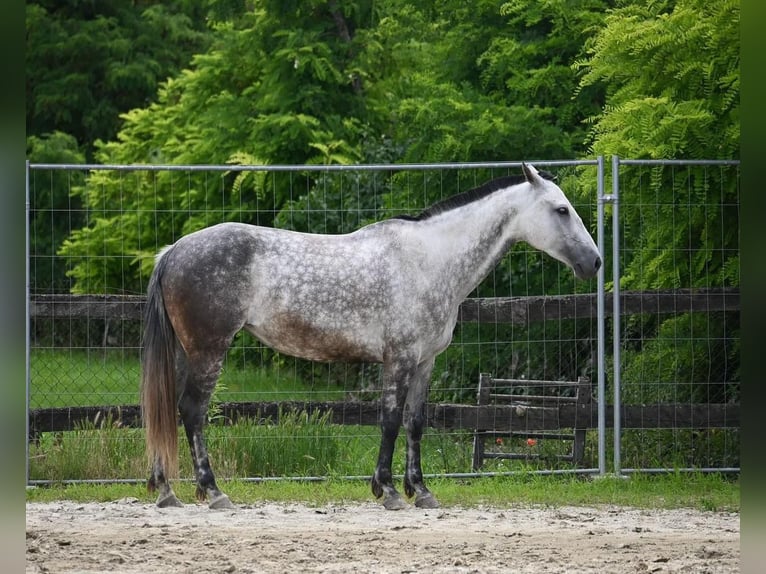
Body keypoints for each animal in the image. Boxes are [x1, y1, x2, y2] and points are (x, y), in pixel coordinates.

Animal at [141, 164, 604, 510]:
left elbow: (415, 423)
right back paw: (213, 492)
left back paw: (167, 491)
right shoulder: (398, 359)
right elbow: (391, 421)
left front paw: (422, 491)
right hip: (209, 350)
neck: (430, 260)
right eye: (561, 209)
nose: (595, 262)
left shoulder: (425, 362)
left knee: (167, 409)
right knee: (192, 411)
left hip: (185, 353)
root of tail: (174, 251)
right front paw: (389, 491)